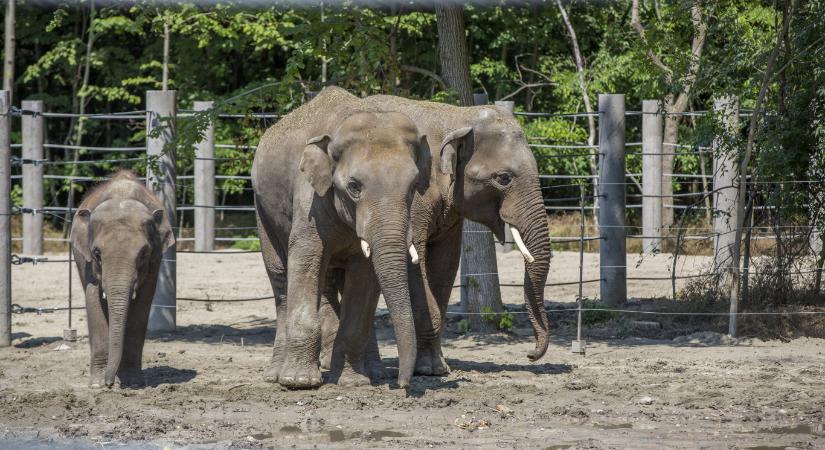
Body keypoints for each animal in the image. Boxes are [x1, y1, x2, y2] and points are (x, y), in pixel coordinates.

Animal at [70, 170, 175, 386]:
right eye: (97, 253)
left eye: (143, 254)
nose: (109, 384)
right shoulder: (88, 263)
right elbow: (93, 299)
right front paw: (97, 384)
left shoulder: (155, 260)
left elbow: (143, 303)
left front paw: (132, 382)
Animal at [253, 86, 428, 388]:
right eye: (354, 186)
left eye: (415, 184)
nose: (404, 384)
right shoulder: (309, 197)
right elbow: (305, 258)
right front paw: (300, 382)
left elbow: (364, 274)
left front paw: (352, 382)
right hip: (261, 207)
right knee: (281, 280)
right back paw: (276, 376)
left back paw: (374, 374)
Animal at [320, 94, 548, 376]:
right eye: (504, 178)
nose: (531, 354)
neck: (456, 117)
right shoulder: (415, 199)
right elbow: (415, 263)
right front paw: (428, 370)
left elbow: (445, 264)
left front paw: (439, 368)